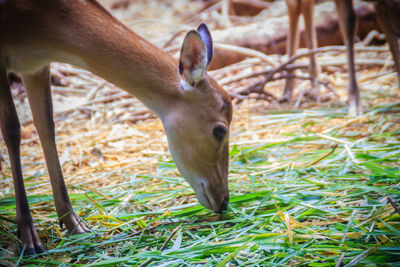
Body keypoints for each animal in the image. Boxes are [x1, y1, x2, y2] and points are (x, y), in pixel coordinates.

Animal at [0, 0, 231, 255]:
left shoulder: (36, 66)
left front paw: (76, 225)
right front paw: (28, 238)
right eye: (220, 130)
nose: (224, 201)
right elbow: (12, 128)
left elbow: (47, 126)